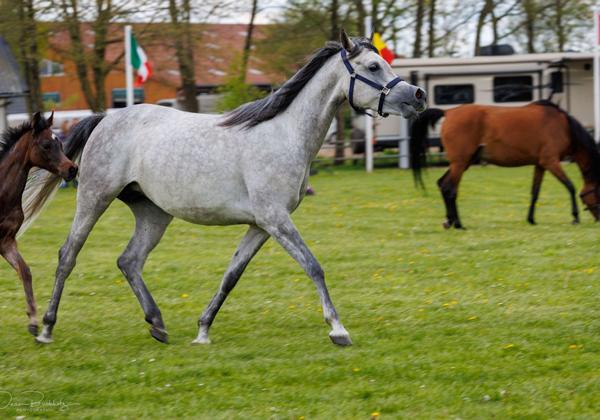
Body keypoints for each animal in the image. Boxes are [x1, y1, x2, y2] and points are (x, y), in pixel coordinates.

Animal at [0, 111, 78, 334]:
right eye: (45, 145)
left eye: (59, 143)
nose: (72, 169)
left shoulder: (6, 241)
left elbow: (25, 272)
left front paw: (33, 322)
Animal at [24, 32, 426, 348]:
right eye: (373, 67)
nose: (419, 95)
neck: (284, 135)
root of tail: (105, 117)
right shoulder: (275, 219)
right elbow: (313, 266)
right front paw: (338, 330)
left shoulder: (261, 226)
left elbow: (232, 275)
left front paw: (202, 331)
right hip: (95, 197)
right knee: (68, 255)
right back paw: (45, 329)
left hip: (153, 212)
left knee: (129, 261)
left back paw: (158, 324)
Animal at [410, 99, 600, 228]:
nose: (598, 219)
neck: (562, 126)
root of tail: (449, 112)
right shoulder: (551, 162)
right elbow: (570, 186)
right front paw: (575, 217)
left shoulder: (541, 164)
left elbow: (535, 192)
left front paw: (531, 219)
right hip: (460, 163)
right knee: (450, 189)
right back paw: (458, 224)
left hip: (463, 163)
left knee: (443, 184)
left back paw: (449, 221)